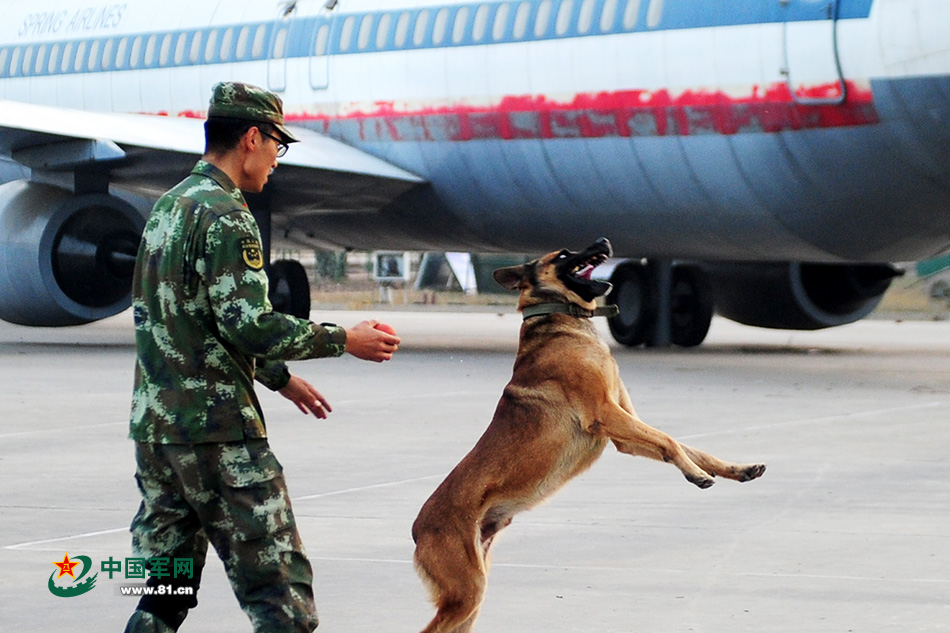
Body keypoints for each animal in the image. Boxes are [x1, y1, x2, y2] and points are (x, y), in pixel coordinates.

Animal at [412, 238, 768, 632]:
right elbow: (669, 440)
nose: (605, 242)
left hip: (473, 593)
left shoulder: (625, 427)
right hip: (466, 593)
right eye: (564, 255)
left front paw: (733, 469)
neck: (562, 320)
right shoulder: (605, 414)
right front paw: (696, 475)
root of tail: (417, 529)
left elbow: (685, 445)